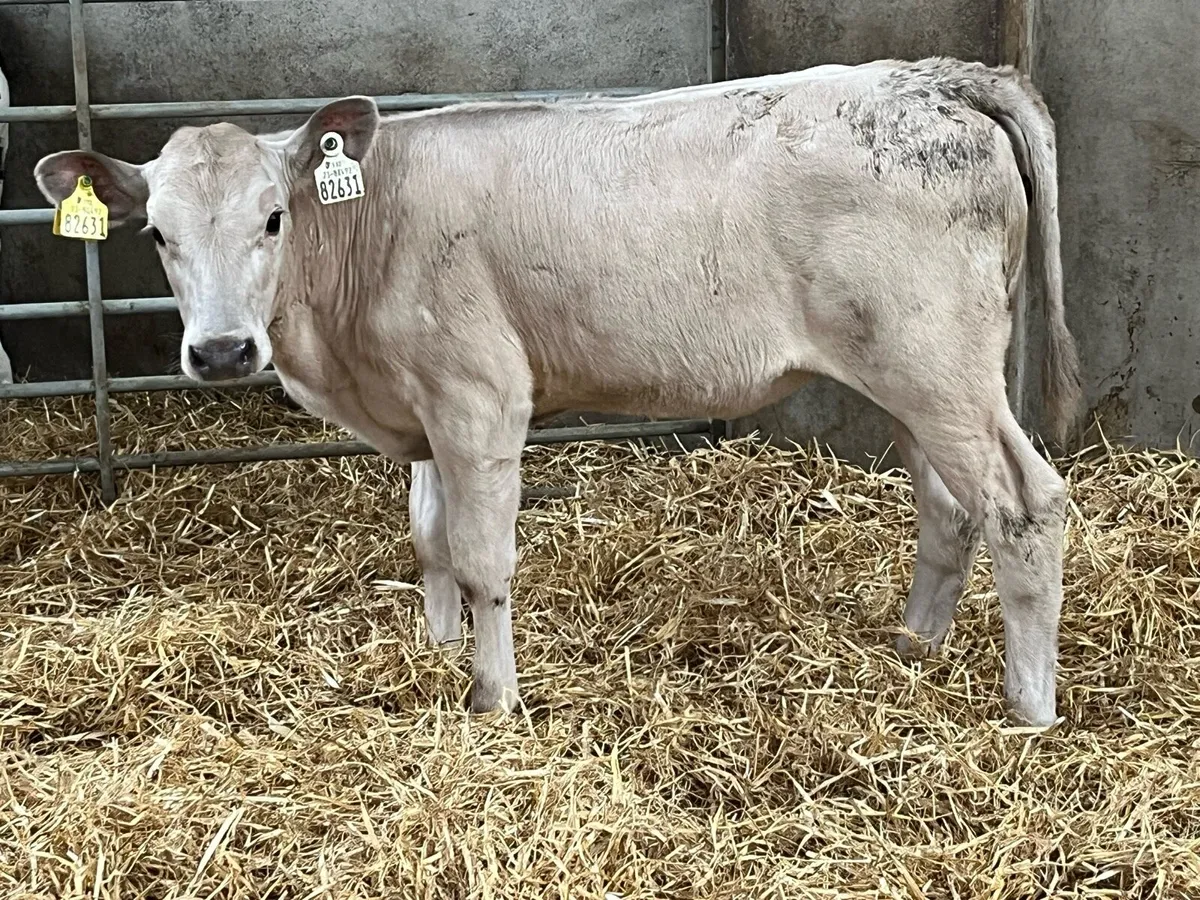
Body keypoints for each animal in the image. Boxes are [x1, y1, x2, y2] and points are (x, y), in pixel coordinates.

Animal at [34, 57, 1081, 727]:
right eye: (157, 234)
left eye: (273, 217)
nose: (219, 351)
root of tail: (935, 76)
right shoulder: (423, 407)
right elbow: (429, 540)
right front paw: (436, 653)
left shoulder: (479, 394)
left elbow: (482, 556)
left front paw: (492, 698)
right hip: (916, 379)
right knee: (948, 504)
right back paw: (915, 648)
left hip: (937, 361)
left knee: (1023, 503)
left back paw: (1028, 709)